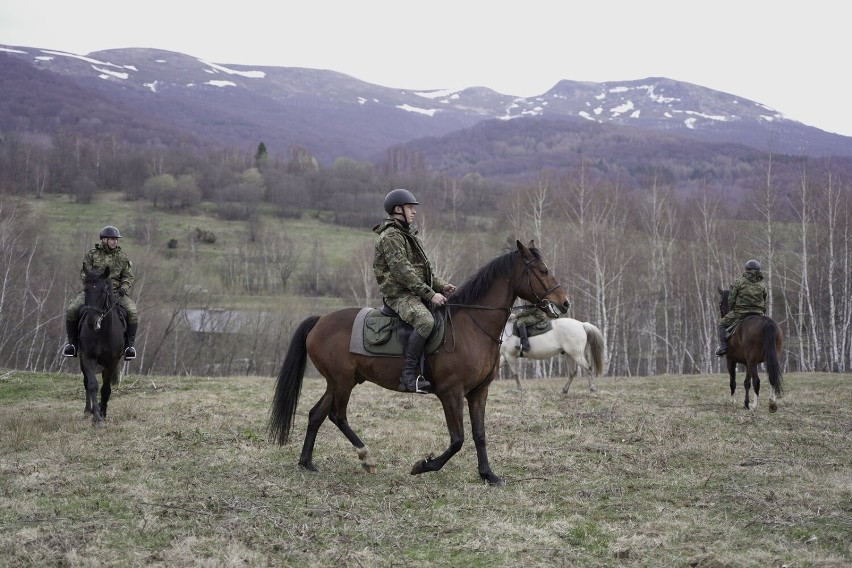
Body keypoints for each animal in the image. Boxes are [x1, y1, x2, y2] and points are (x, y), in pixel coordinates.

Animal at [77, 268, 125, 428]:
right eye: (85, 289)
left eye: (103, 291)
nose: (92, 323)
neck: (102, 333)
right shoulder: (87, 357)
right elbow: (92, 385)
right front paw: (97, 417)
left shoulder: (112, 361)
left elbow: (105, 389)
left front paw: (103, 414)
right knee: (86, 382)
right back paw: (88, 411)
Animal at [270, 240, 568, 484]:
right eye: (542, 271)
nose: (564, 303)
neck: (472, 326)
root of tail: (320, 320)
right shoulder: (451, 393)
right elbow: (458, 439)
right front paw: (424, 465)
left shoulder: (478, 392)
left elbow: (479, 435)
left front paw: (488, 475)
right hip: (343, 382)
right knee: (337, 415)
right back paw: (366, 457)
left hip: (339, 382)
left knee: (316, 414)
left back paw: (307, 462)